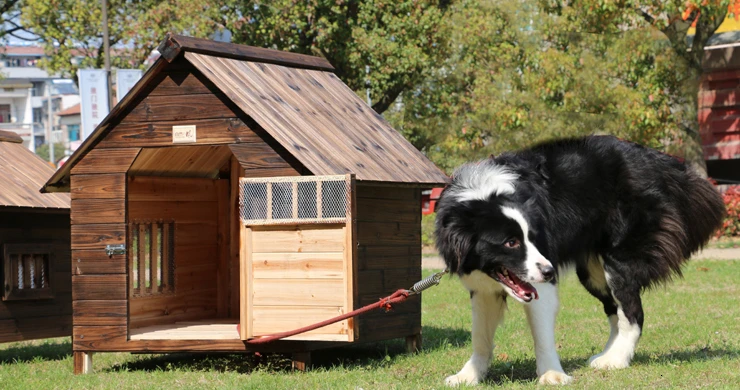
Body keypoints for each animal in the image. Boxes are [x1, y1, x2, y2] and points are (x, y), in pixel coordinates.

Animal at [434, 136, 724, 386]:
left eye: (533, 237)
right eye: (511, 242)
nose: (550, 271)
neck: (483, 195)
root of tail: (663, 163)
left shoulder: (542, 280)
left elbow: (542, 333)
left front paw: (552, 374)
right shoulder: (482, 287)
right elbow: (480, 336)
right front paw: (469, 375)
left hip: (619, 260)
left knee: (632, 312)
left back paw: (616, 360)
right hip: (592, 272)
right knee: (615, 310)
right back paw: (606, 356)